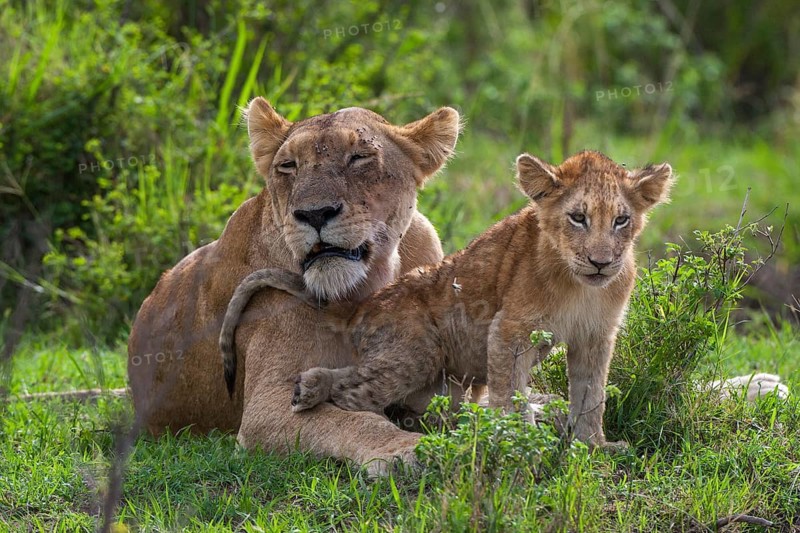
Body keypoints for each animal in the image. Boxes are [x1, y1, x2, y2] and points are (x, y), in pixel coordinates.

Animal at [127, 97, 463, 475]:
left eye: (359, 157)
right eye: (288, 166)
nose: (315, 214)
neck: (367, 285)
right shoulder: (264, 408)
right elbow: (349, 420)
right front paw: (405, 449)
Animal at [220, 150, 675, 449]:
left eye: (621, 220)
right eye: (577, 218)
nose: (601, 262)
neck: (580, 286)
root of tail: (368, 301)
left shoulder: (596, 336)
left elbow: (591, 394)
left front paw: (594, 446)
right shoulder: (510, 330)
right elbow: (510, 396)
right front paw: (517, 445)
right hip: (418, 351)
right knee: (355, 394)